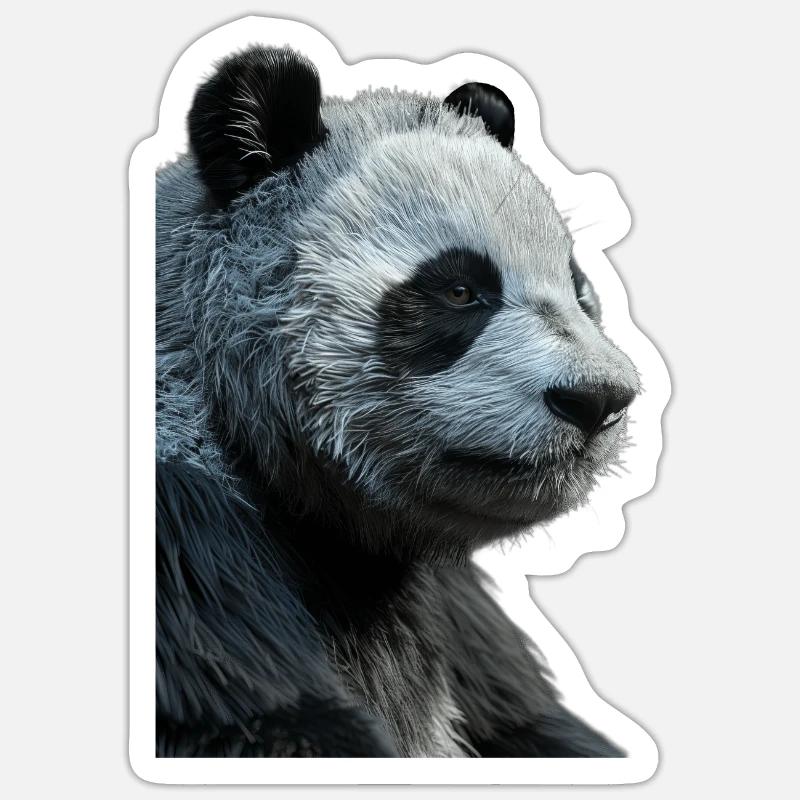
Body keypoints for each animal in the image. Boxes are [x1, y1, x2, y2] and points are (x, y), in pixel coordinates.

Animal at [156, 45, 639, 758]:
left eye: (578, 286)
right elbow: (257, 719)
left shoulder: (444, 610)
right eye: (459, 290)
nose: (598, 399)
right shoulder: (186, 539)